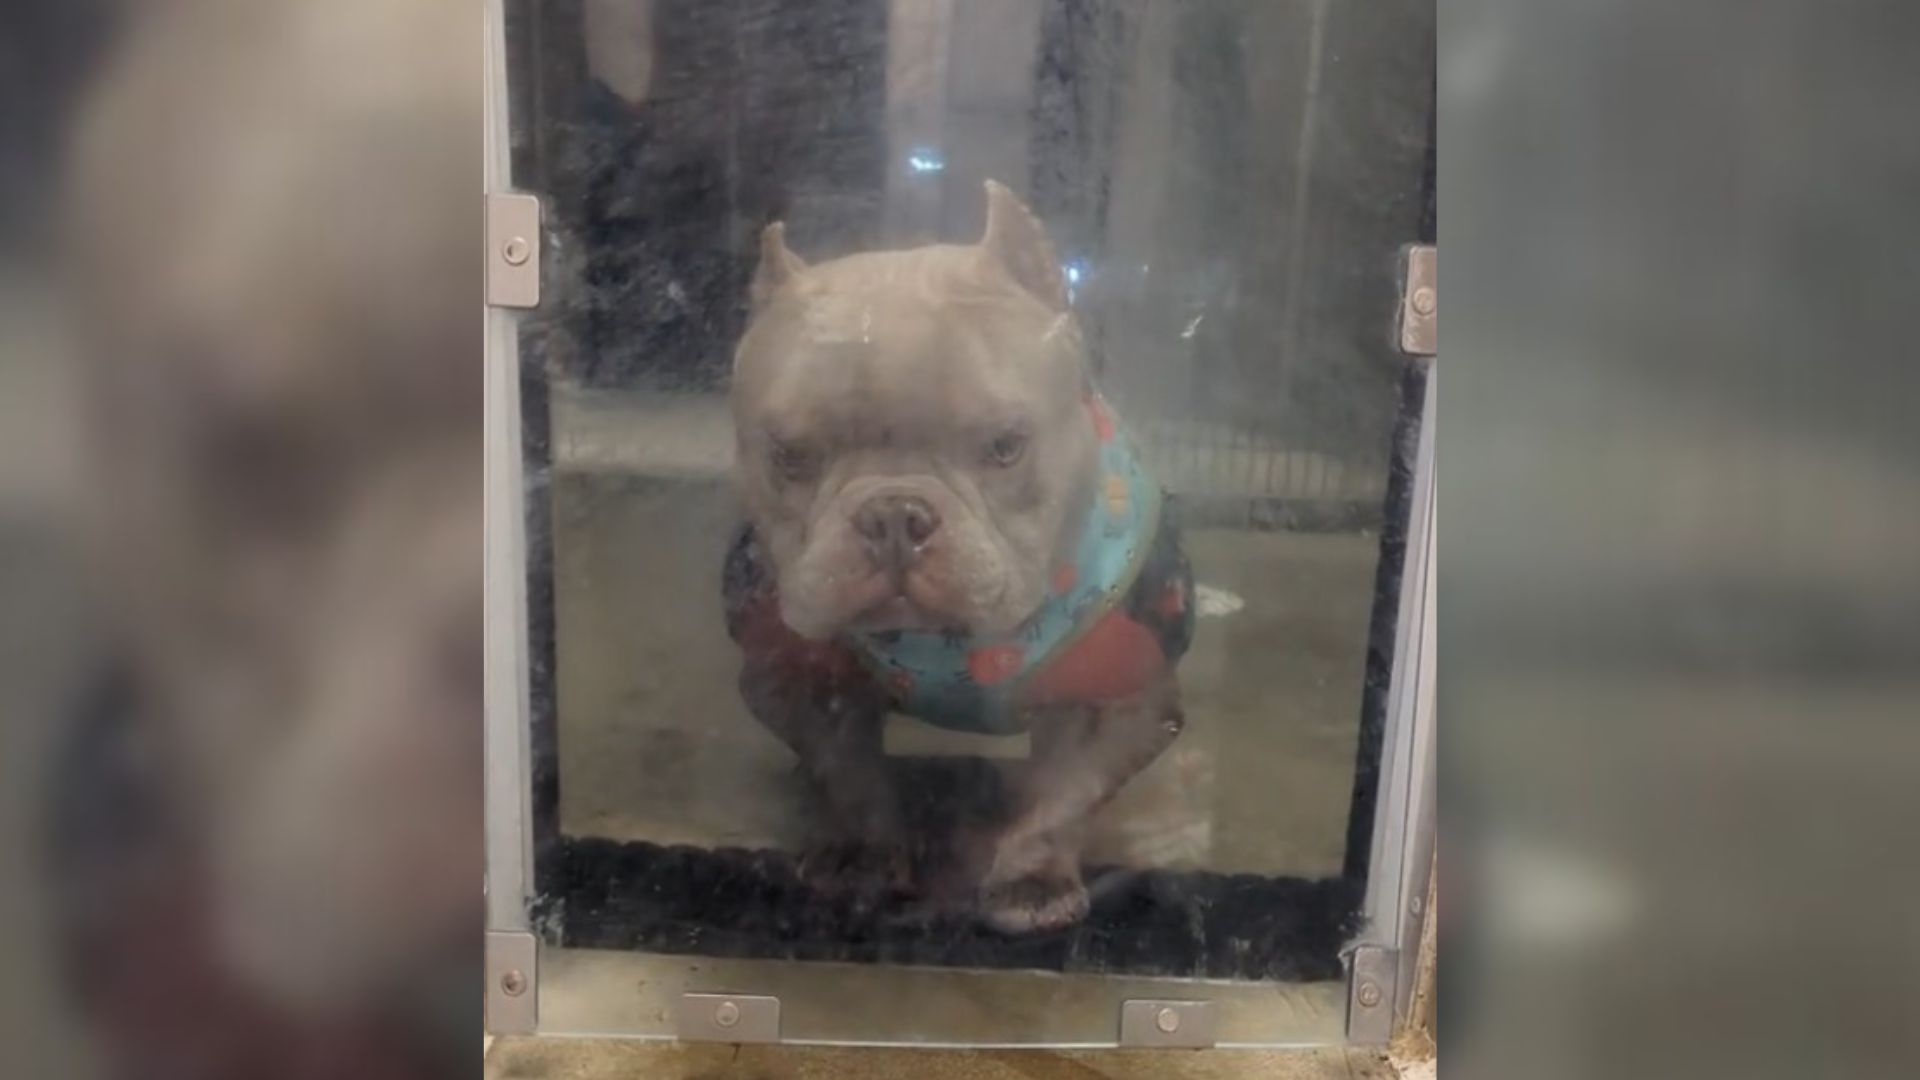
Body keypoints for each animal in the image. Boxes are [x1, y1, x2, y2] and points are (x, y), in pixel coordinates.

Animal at [725, 180, 1190, 930]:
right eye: (790, 456)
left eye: (1006, 446)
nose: (893, 514)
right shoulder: (798, 681)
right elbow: (847, 770)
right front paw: (860, 855)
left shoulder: (1123, 701)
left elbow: (1063, 792)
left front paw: (1031, 877)